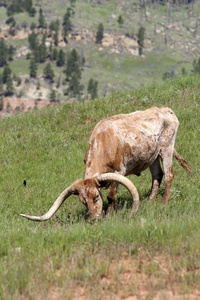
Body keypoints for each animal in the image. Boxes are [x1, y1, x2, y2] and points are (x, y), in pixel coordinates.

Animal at [19, 106, 191, 221]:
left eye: (96, 197)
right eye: (83, 201)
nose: (93, 219)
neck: (103, 143)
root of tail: (165, 110)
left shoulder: (119, 172)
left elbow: (111, 195)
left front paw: (109, 215)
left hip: (166, 148)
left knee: (168, 175)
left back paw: (164, 203)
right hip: (152, 156)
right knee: (157, 176)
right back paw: (149, 202)